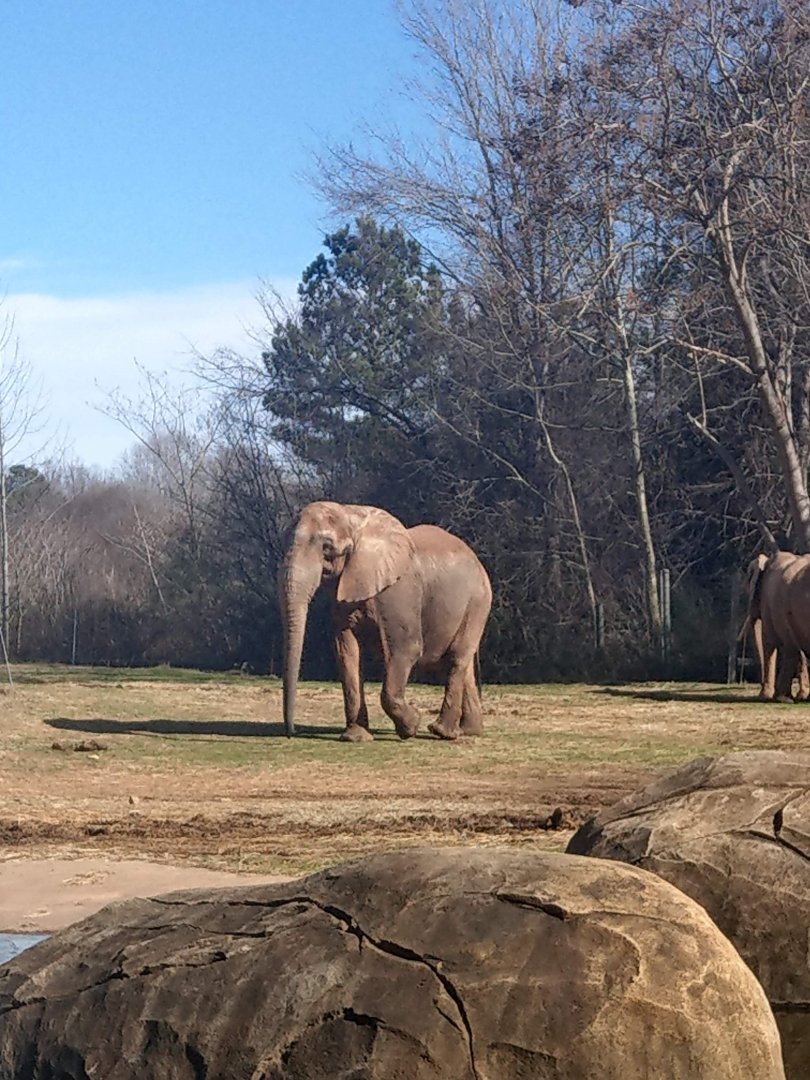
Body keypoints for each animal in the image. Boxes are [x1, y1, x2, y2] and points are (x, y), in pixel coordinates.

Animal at [279, 501, 493, 741]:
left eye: (327, 548)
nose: (291, 733)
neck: (351, 514)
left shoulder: (398, 591)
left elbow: (406, 648)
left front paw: (410, 727)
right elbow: (346, 651)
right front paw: (356, 738)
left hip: (477, 603)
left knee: (456, 658)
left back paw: (441, 732)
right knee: (460, 663)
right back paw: (468, 731)